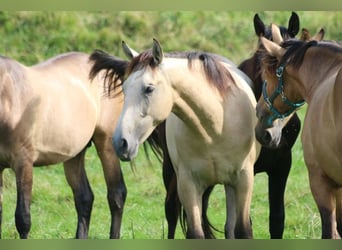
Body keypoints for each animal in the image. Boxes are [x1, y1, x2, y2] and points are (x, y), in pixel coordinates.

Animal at [108, 38, 260, 238]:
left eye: (148, 89)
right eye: (124, 89)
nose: (121, 143)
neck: (216, 125)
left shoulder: (244, 180)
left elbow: (242, 230)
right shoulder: (188, 184)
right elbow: (195, 232)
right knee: (172, 212)